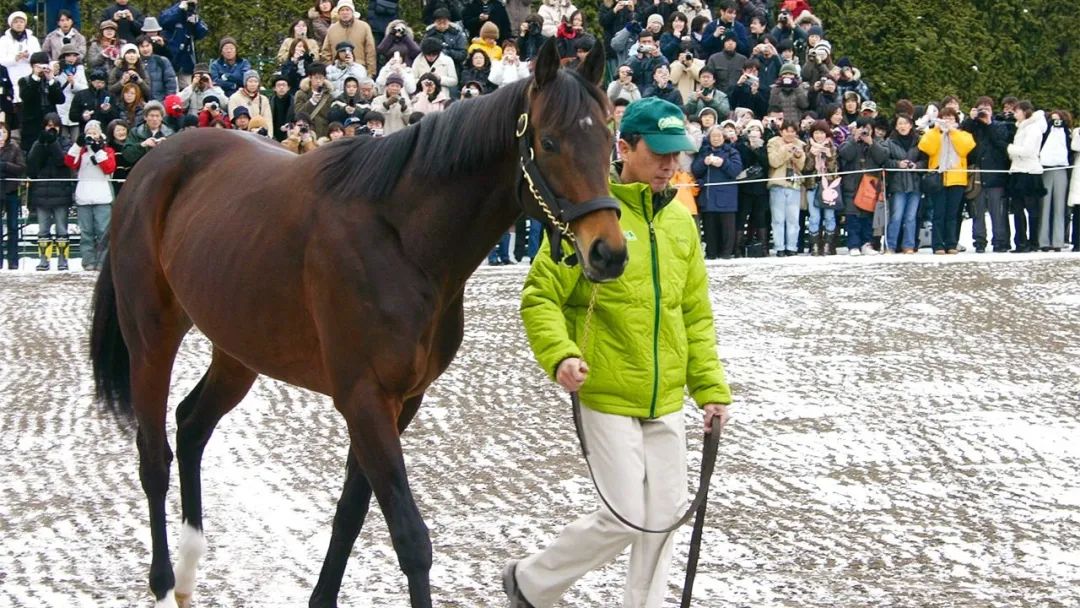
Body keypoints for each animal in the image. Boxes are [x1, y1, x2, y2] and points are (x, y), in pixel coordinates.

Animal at [89, 39, 630, 608]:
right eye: (549, 141)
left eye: (608, 137)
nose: (609, 252)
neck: (401, 237)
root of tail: (150, 168)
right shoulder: (364, 397)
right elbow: (410, 538)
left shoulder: (401, 401)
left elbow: (350, 512)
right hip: (151, 338)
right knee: (154, 456)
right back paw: (162, 578)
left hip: (238, 350)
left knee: (192, 424)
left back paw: (189, 568)